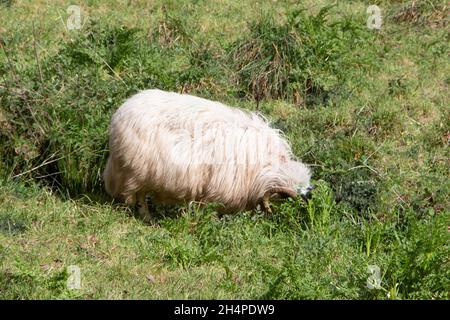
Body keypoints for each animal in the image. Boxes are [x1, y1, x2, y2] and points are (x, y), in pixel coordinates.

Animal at [103, 89, 312, 221]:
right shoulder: (219, 189)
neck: (268, 166)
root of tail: (121, 111)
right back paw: (147, 217)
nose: (309, 198)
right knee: (139, 195)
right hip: (138, 170)